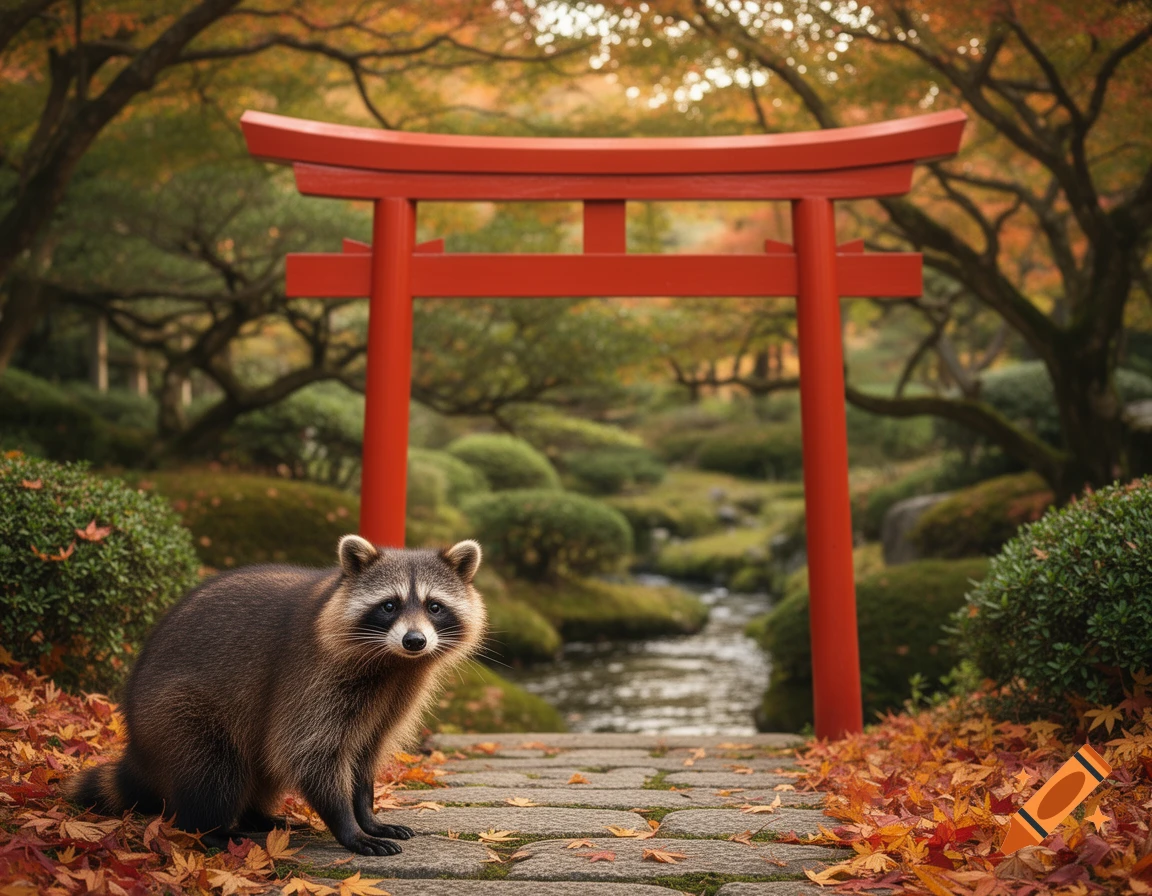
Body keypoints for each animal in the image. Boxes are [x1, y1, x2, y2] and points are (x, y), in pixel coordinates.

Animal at [69, 536, 486, 856]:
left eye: (434, 606)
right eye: (389, 605)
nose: (415, 641)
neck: (394, 662)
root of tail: (137, 750)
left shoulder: (393, 696)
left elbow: (365, 754)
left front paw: (367, 814)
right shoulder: (311, 678)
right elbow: (310, 752)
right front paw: (348, 826)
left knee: (261, 766)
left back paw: (257, 815)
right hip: (176, 713)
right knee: (214, 771)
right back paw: (210, 830)